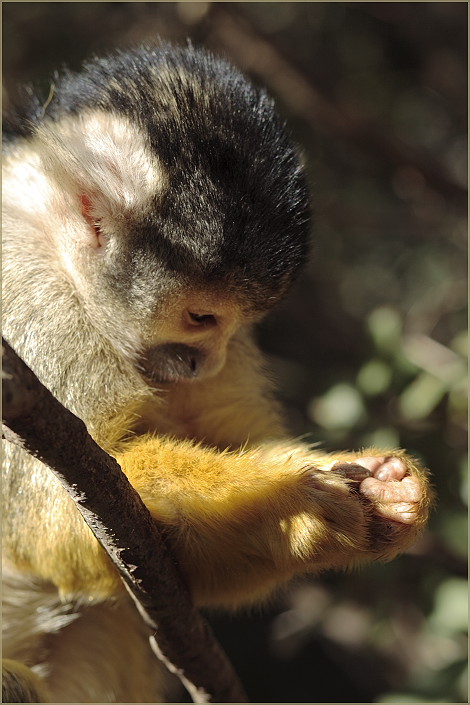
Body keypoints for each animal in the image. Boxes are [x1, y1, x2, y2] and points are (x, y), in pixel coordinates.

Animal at [0, 44, 434, 700]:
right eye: (201, 316)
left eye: (236, 325)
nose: (210, 361)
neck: (50, 242)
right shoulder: (28, 305)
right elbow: (52, 531)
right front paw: (285, 505)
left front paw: (374, 494)